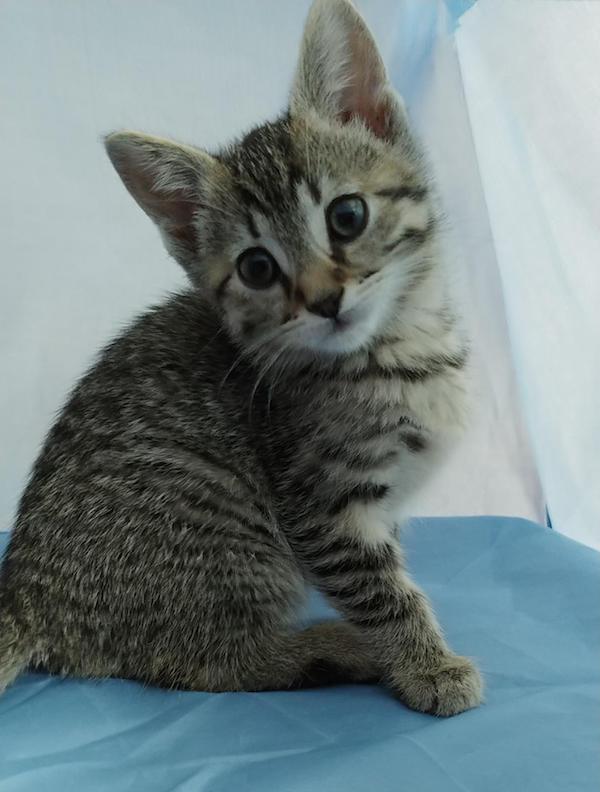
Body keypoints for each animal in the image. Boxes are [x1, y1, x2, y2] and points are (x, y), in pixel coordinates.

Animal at [0, 0, 482, 716]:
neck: (401, 348)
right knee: (203, 663)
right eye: (257, 268)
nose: (325, 299)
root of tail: (27, 592)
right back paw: (328, 649)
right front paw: (427, 665)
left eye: (347, 215)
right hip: (225, 528)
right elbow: (381, 592)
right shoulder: (319, 507)